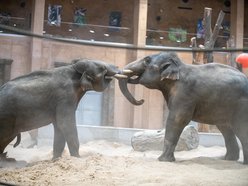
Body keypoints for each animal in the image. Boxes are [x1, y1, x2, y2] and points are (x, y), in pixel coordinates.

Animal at [117, 51, 248, 163]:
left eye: (147, 60)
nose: (141, 100)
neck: (178, 67)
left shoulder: (184, 93)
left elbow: (176, 120)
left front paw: (163, 160)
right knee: (225, 127)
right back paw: (228, 159)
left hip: (241, 105)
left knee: (240, 128)